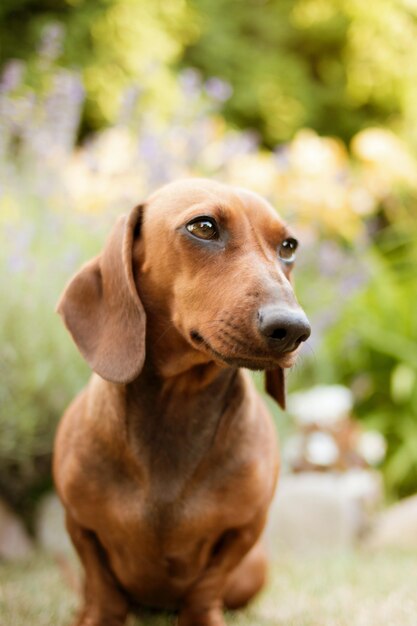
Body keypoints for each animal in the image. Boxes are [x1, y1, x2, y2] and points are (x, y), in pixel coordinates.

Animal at [53, 177, 308, 624]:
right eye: (203, 226)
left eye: (288, 246)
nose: (294, 329)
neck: (177, 407)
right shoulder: (80, 525)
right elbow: (103, 589)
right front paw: (98, 617)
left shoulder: (245, 530)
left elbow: (207, 586)